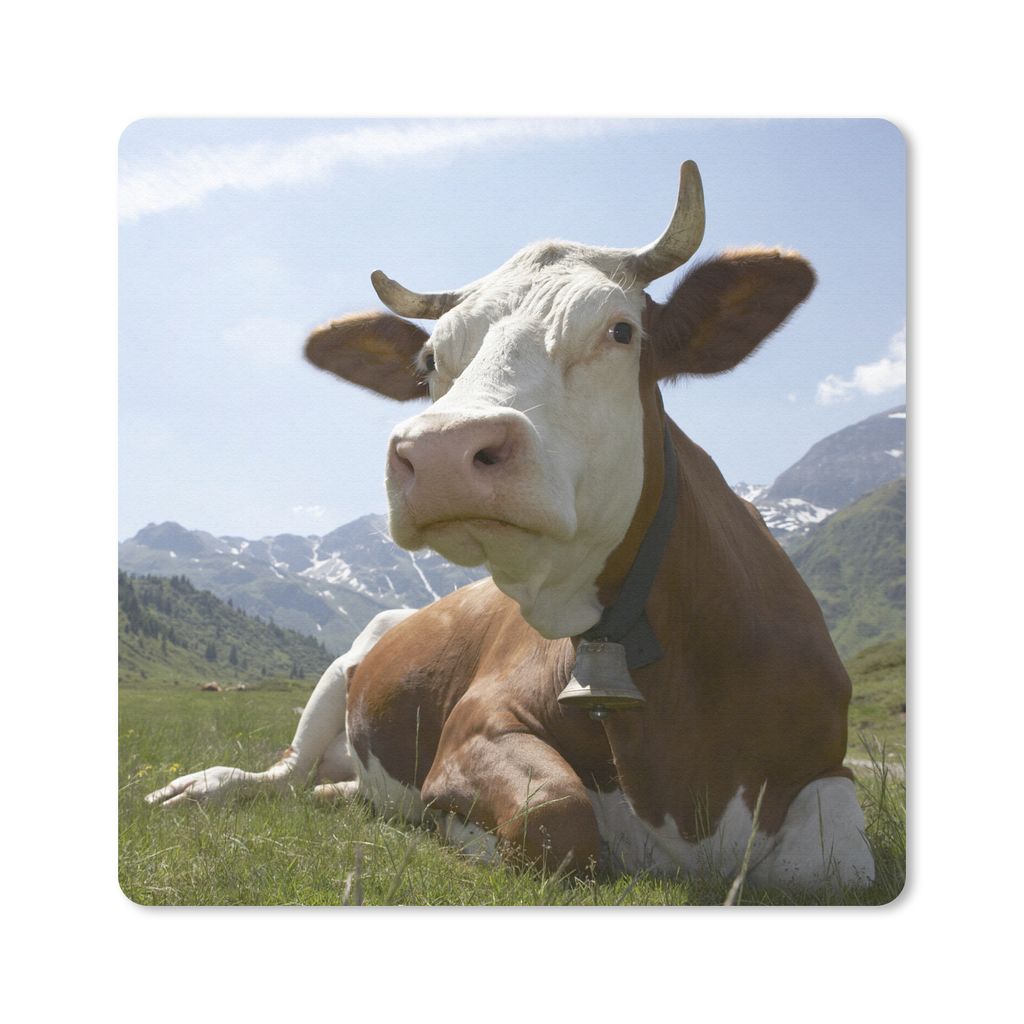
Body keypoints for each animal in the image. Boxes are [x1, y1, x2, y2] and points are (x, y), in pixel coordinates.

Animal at [147, 161, 874, 891]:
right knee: (281, 774)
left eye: (621, 331)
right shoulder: (476, 725)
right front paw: (455, 831)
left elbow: (840, 863)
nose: (442, 451)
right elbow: (556, 813)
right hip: (339, 671)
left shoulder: (825, 773)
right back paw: (202, 787)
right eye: (429, 362)